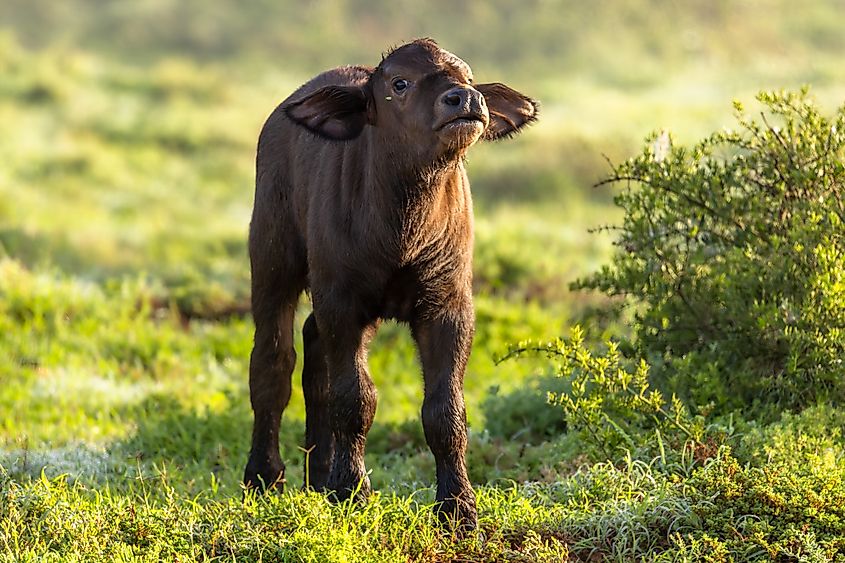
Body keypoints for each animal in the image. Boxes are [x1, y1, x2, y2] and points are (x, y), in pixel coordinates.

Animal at [244, 38, 537, 530]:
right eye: (400, 83)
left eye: (469, 78)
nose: (465, 100)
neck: (404, 223)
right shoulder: (344, 304)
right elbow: (354, 399)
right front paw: (353, 491)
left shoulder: (448, 307)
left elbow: (445, 410)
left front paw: (458, 506)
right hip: (271, 259)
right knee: (274, 361)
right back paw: (265, 476)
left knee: (313, 348)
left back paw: (319, 475)